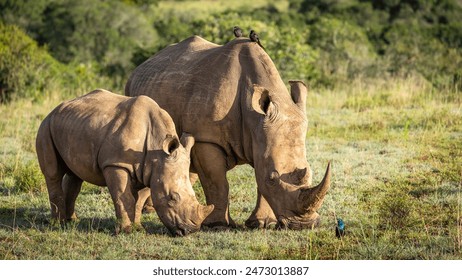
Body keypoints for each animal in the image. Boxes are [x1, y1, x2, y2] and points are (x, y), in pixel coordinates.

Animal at [36, 88, 213, 235]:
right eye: (172, 198)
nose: (189, 231)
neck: (157, 149)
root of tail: (56, 109)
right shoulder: (116, 164)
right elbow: (124, 197)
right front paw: (127, 231)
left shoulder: (149, 169)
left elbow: (139, 200)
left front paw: (138, 228)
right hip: (46, 126)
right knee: (53, 174)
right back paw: (58, 224)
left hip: (72, 126)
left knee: (75, 175)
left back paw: (72, 221)